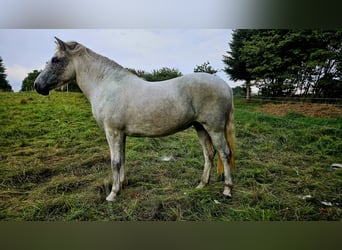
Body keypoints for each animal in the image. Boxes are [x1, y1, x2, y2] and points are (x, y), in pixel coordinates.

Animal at [34, 37, 235, 201]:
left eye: (55, 59)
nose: (37, 85)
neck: (106, 85)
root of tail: (225, 85)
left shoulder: (113, 132)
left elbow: (115, 162)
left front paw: (113, 194)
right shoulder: (121, 134)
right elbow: (122, 159)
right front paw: (122, 184)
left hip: (214, 128)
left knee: (224, 153)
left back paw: (227, 190)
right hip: (199, 127)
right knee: (209, 153)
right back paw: (202, 184)